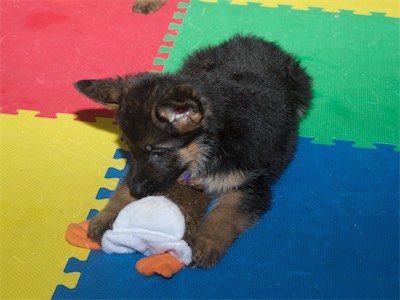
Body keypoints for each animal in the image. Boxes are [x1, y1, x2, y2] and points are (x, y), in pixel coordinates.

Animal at [75, 35, 312, 268]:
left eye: (158, 153)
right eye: (128, 149)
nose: (137, 192)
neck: (215, 139)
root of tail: (256, 40)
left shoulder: (251, 184)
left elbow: (224, 214)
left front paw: (204, 242)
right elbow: (123, 186)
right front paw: (108, 215)